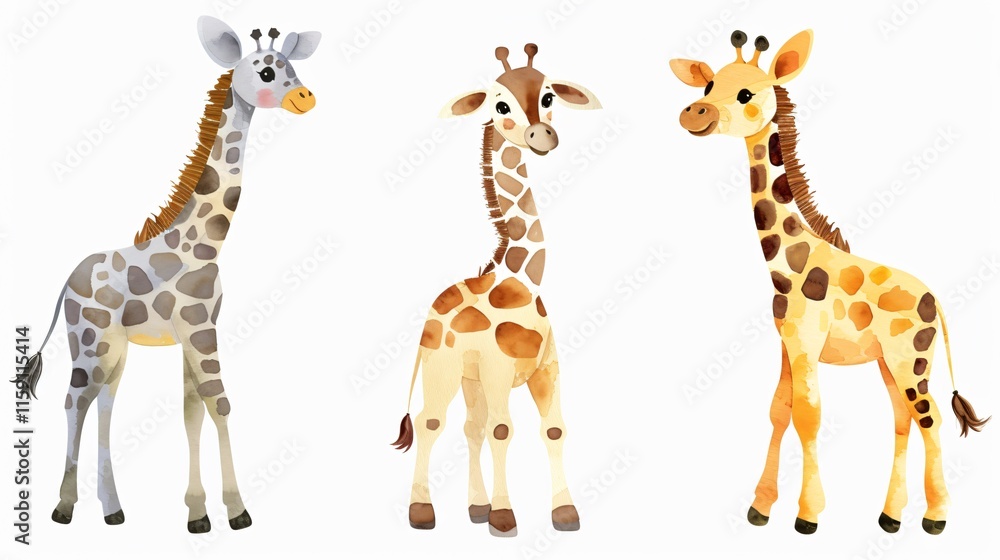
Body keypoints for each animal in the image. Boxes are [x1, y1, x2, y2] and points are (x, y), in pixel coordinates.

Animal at [12, 16, 320, 533]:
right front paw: (237, 510)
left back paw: (112, 510)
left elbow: (192, 410)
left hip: (112, 348)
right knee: (74, 401)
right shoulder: (198, 329)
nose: (306, 98)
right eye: (265, 71)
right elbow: (219, 403)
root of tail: (64, 284)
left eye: (292, 66)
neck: (206, 243)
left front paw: (198, 513)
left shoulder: (197, 330)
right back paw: (63, 508)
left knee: (103, 402)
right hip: (90, 340)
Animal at [391, 44, 601, 537]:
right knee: (432, 422)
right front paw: (505, 518)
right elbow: (504, 430)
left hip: (472, 379)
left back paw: (475, 507)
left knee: (471, 426)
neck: (521, 278)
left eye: (548, 97)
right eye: (500, 105)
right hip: (443, 369)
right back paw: (422, 510)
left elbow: (553, 429)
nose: (541, 135)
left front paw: (564, 513)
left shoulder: (545, 370)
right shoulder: (501, 370)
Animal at [670, 29, 989, 535]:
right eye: (708, 85)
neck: (788, 264)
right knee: (902, 419)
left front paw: (808, 515)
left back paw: (935, 518)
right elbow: (779, 411)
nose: (693, 113)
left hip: (912, 360)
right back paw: (889, 517)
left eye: (746, 93)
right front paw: (760, 508)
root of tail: (935, 299)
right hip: (888, 362)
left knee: (931, 418)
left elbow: (809, 417)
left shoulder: (806, 343)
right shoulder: (786, 343)